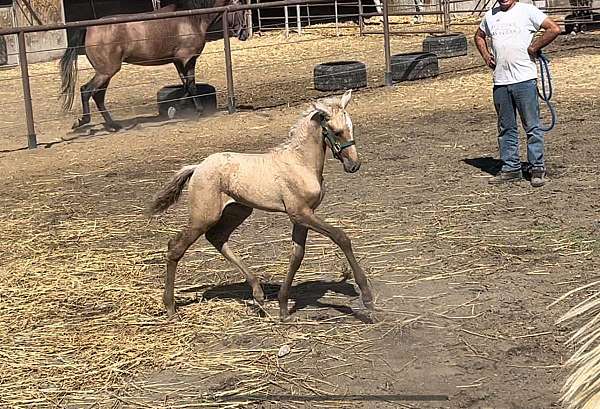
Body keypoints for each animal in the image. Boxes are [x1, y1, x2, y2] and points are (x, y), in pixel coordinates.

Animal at [59, 0, 247, 130]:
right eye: (240, 9)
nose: (243, 33)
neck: (191, 18)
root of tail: (89, 28)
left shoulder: (178, 61)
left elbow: (186, 86)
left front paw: (179, 110)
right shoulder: (188, 59)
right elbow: (191, 86)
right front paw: (195, 111)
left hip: (106, 72)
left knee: (98, 96)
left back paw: (114, 125)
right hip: (106, 71)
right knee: (87, 91)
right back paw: (82, 121)